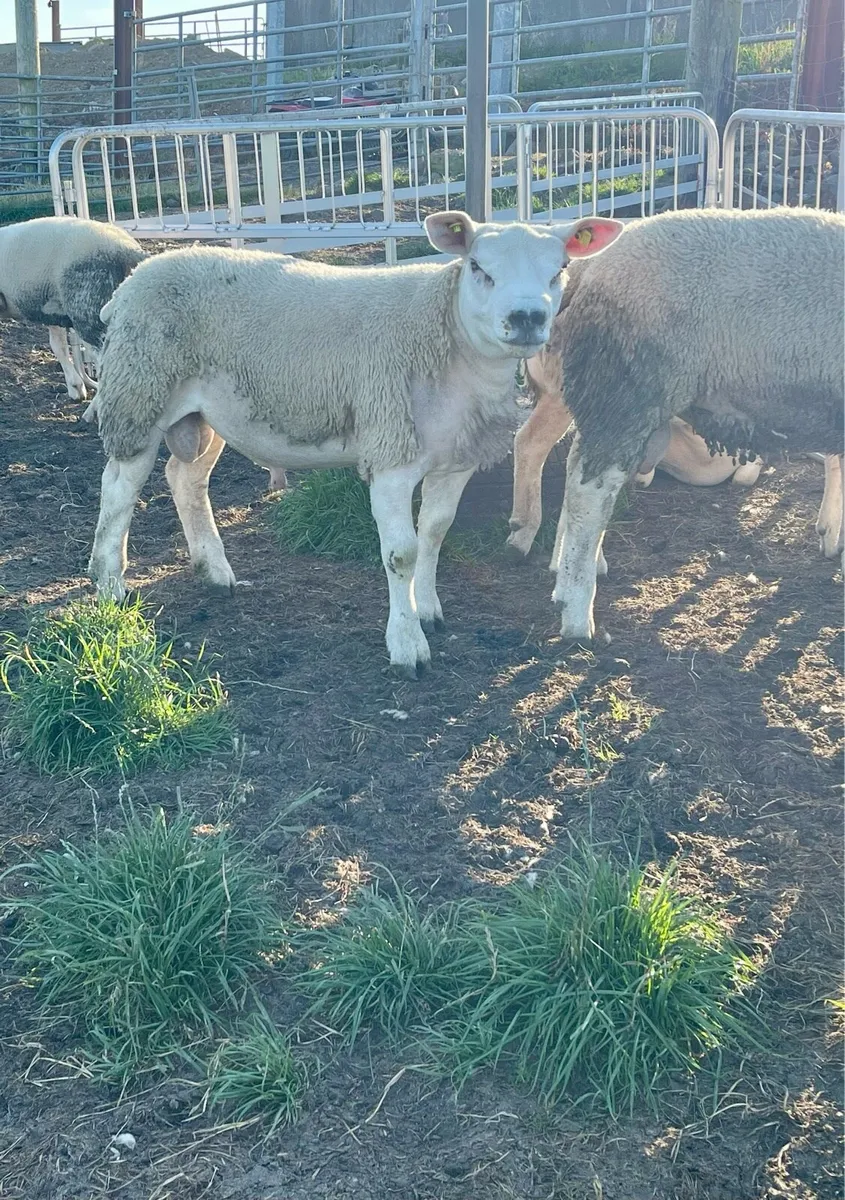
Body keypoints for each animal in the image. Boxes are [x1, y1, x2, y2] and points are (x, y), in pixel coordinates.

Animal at [87, 209, 624, 677]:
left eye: (560, 269)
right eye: (477, 267)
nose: (528, 317)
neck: (447, 338)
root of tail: (138, 276)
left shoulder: (456, 459)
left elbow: (435, 533)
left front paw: (428, 610)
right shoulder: (391, 454)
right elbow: (401, 554)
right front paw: (408, 647)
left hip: (211, 413)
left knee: (185, 477)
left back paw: (214, 572)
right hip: (140, 392)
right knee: (118, 488)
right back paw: (110, 585)